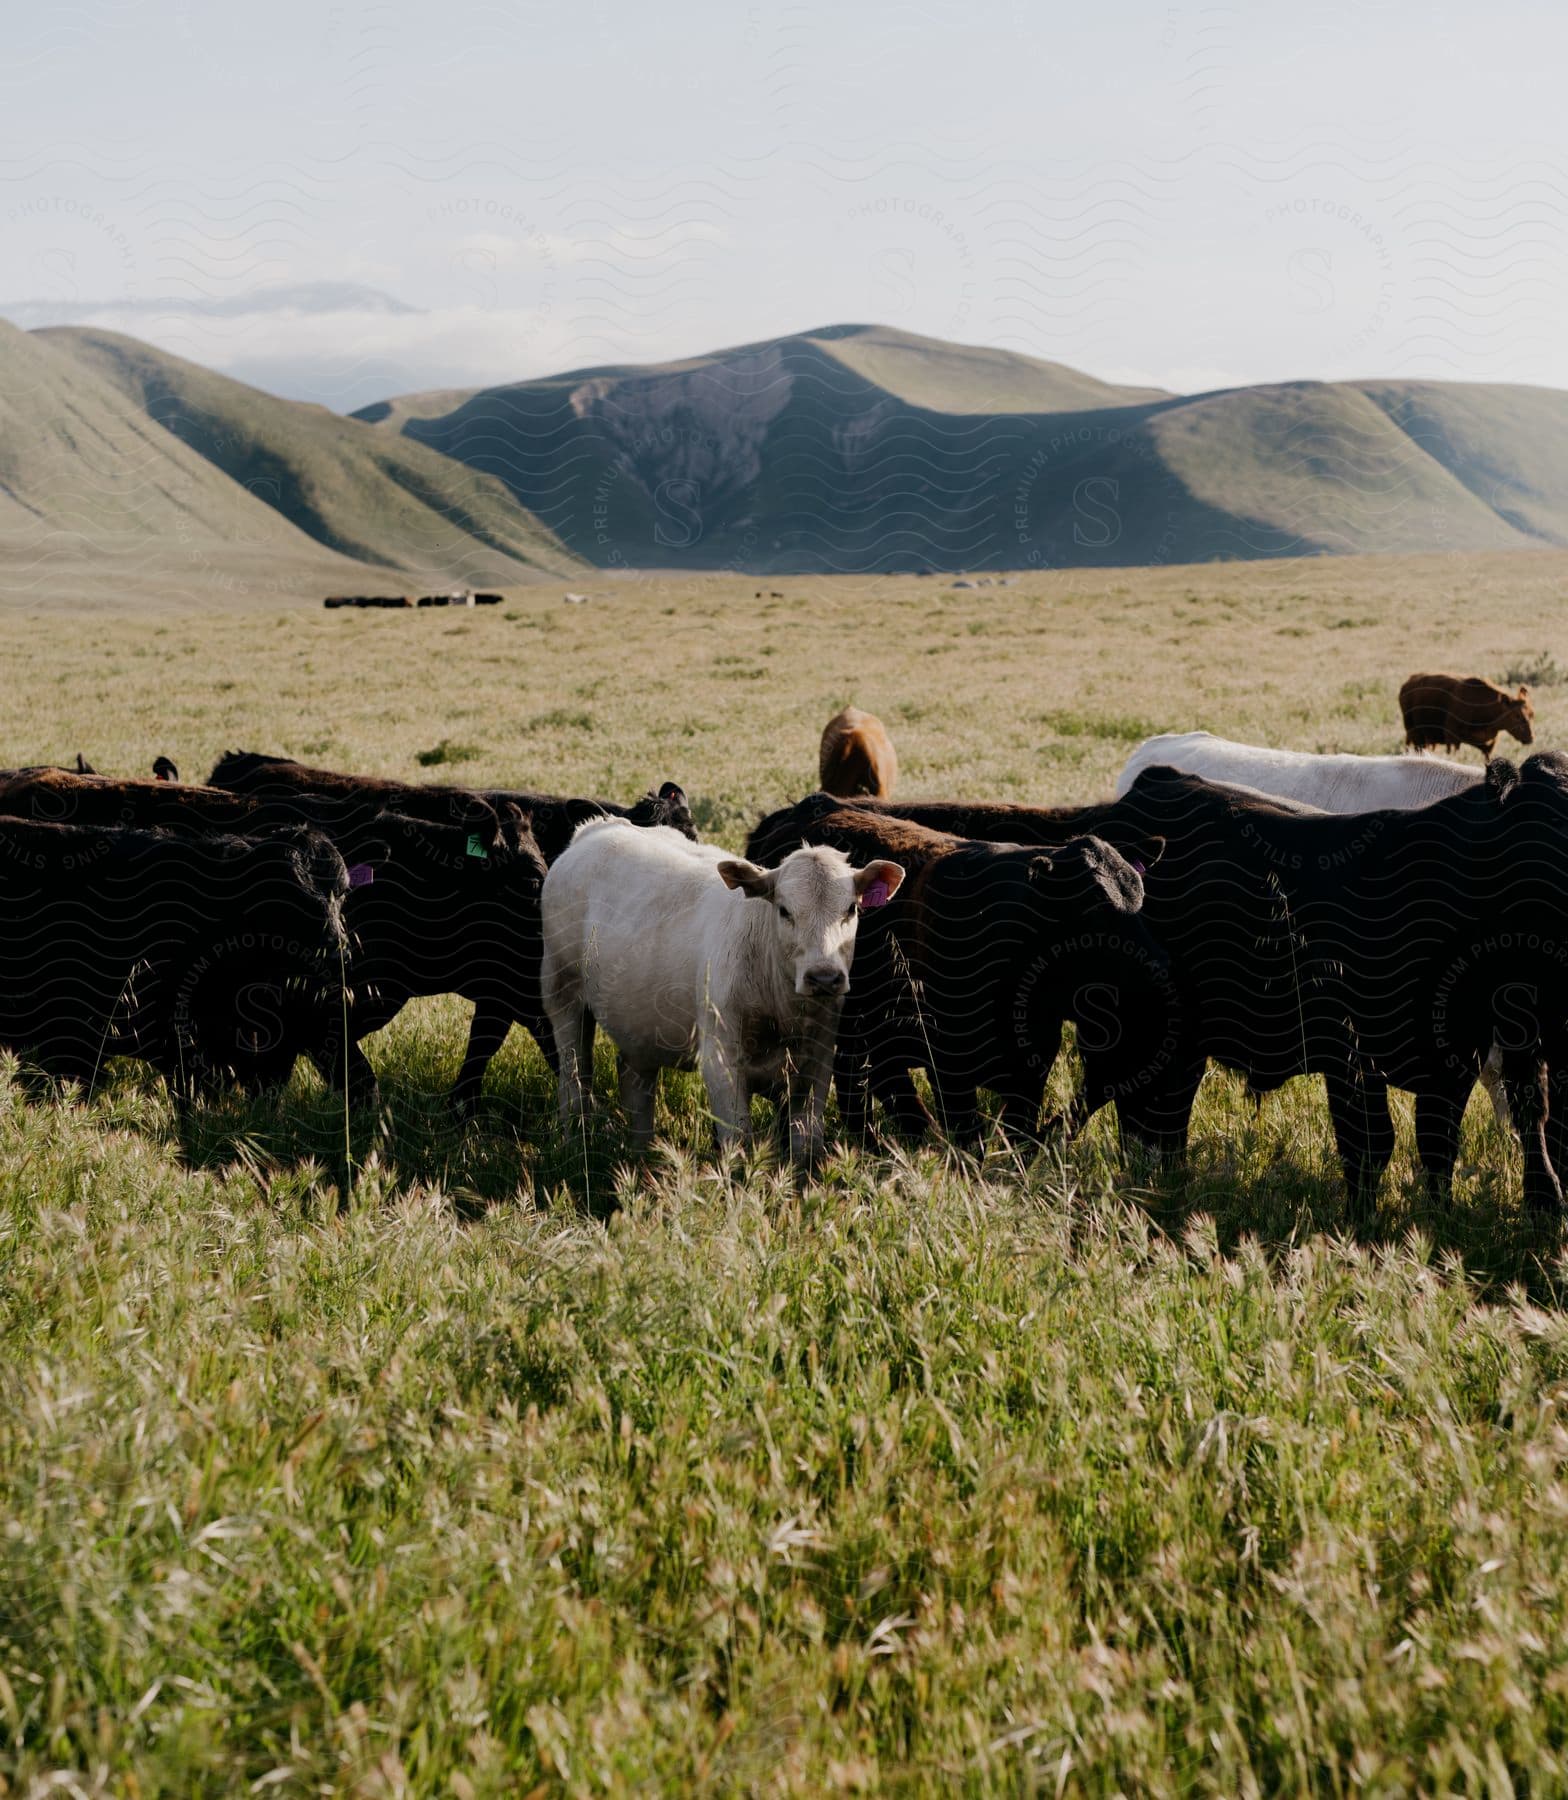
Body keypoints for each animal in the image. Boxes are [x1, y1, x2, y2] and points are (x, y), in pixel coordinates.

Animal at [540, 820, 900, 1166]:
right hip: (561, 991)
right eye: (784, 910)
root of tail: (598, 827)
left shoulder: (817, 1063)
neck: (782, 1011)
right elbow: (738, 1141)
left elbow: (806, 1146)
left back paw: (639, 1157)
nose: (824, 977)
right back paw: (575, 1146)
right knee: (574, 1077)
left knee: (635, 1083)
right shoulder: (720, 1061)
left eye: (851, 909)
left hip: (637, 1025)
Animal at [1396, 676, 1533, 759]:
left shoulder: (1488, 744)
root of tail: (1405, 685)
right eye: (1516, 715)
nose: (1530, 738)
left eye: (1532, 714)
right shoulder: (1451, 738)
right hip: (1415, 734)